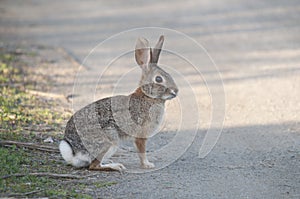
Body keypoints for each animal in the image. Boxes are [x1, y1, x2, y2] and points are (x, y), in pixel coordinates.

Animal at [58, 35, 178, 171]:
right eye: (158, 79)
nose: (176, 91)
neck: (148, 96)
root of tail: (74, 151)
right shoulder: (140, 135)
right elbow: (141, 151)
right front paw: (147, 165)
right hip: (110, 139)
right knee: (94, 165)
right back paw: (115, 166)